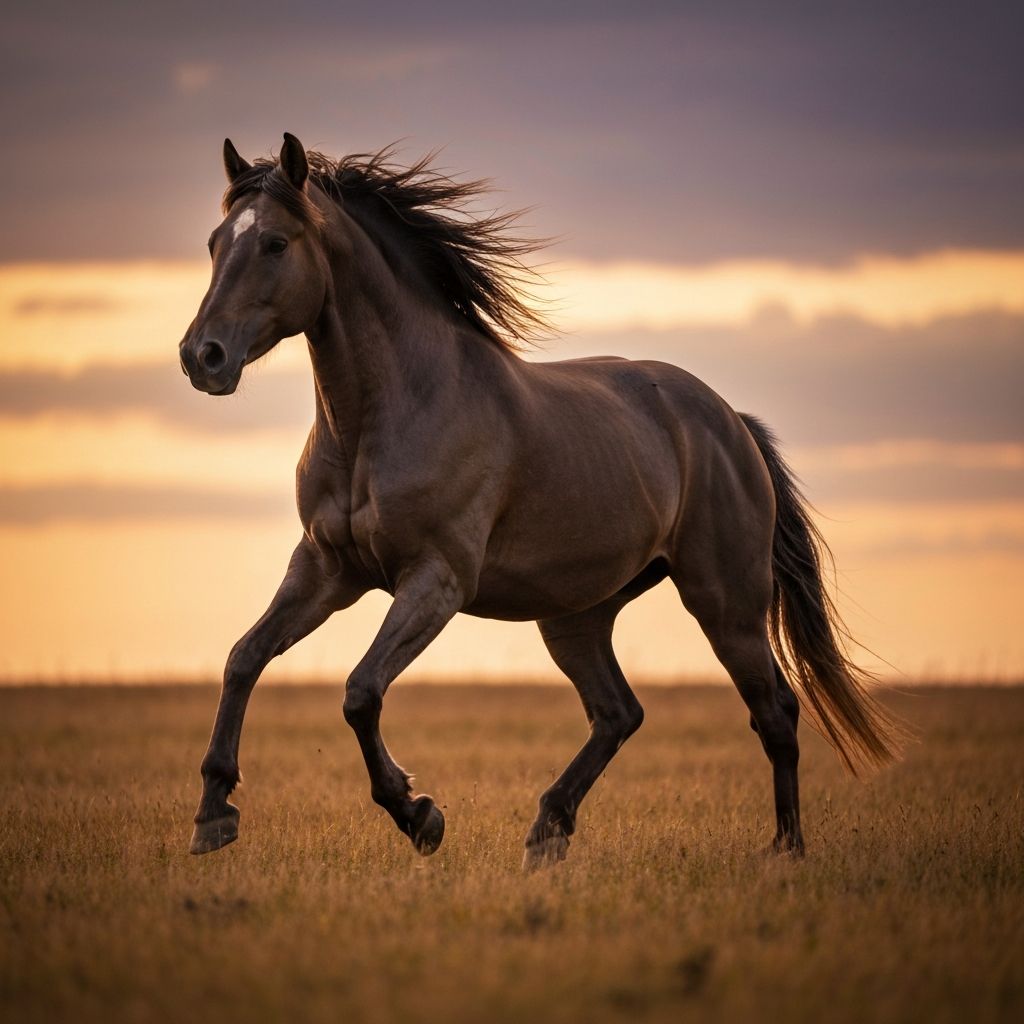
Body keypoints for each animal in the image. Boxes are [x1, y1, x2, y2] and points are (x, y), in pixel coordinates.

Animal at [178, 133, 902, 869]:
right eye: (214, 242)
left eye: (274, 243)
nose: (202, 357)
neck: (388, 415)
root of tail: (730, 422)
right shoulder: (327, 568)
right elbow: (244, 658)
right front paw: (214, 814)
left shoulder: (436, 580)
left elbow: (361, 692)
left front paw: (419, 814)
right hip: (576, 616)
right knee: (619, 712)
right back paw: (547, 831)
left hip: (725, 602)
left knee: (774, 711)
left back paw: (784, 849)